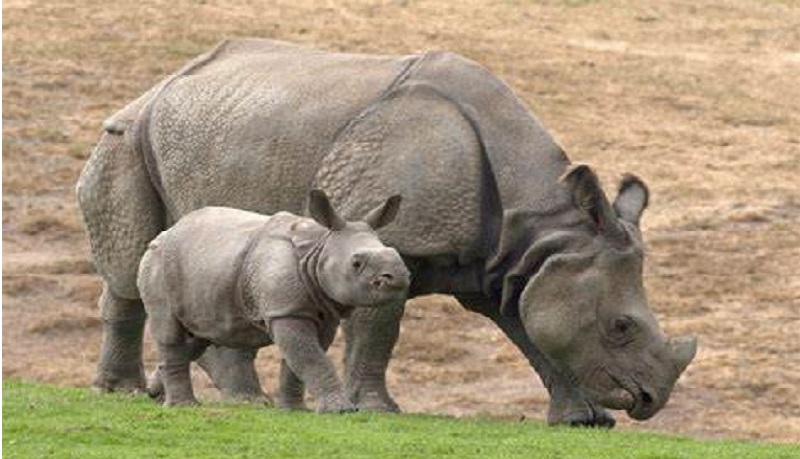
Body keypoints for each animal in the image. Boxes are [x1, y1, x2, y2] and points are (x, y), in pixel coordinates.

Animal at [138, 190, 410, 414]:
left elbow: (300, 357)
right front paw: (340, 410)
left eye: (395, 253)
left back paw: (155, 393)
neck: (319, 247)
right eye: (356, 263)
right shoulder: (286, 310)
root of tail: (164, 234)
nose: (398, 277)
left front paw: (294, 410)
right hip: (159, 263)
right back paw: (183, 406)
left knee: (199, 336)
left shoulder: (319, 312)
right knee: (169, 330)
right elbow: (309, 356)